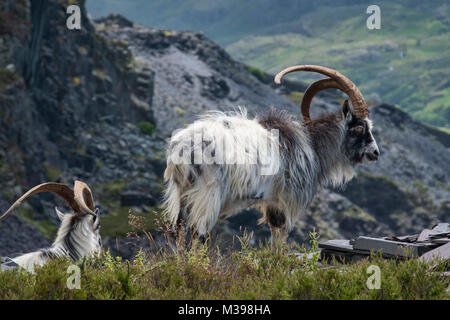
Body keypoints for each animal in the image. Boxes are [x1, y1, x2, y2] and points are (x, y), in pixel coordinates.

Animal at [163, 65, 382, 249]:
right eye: (360, 127)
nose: (375, 153)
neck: (312, 145)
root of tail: (183, 148)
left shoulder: (272, 202)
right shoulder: (287, 200)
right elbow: (280, 236)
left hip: (182, 193)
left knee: (178, 230)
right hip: (208, 193)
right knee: (198, 233)